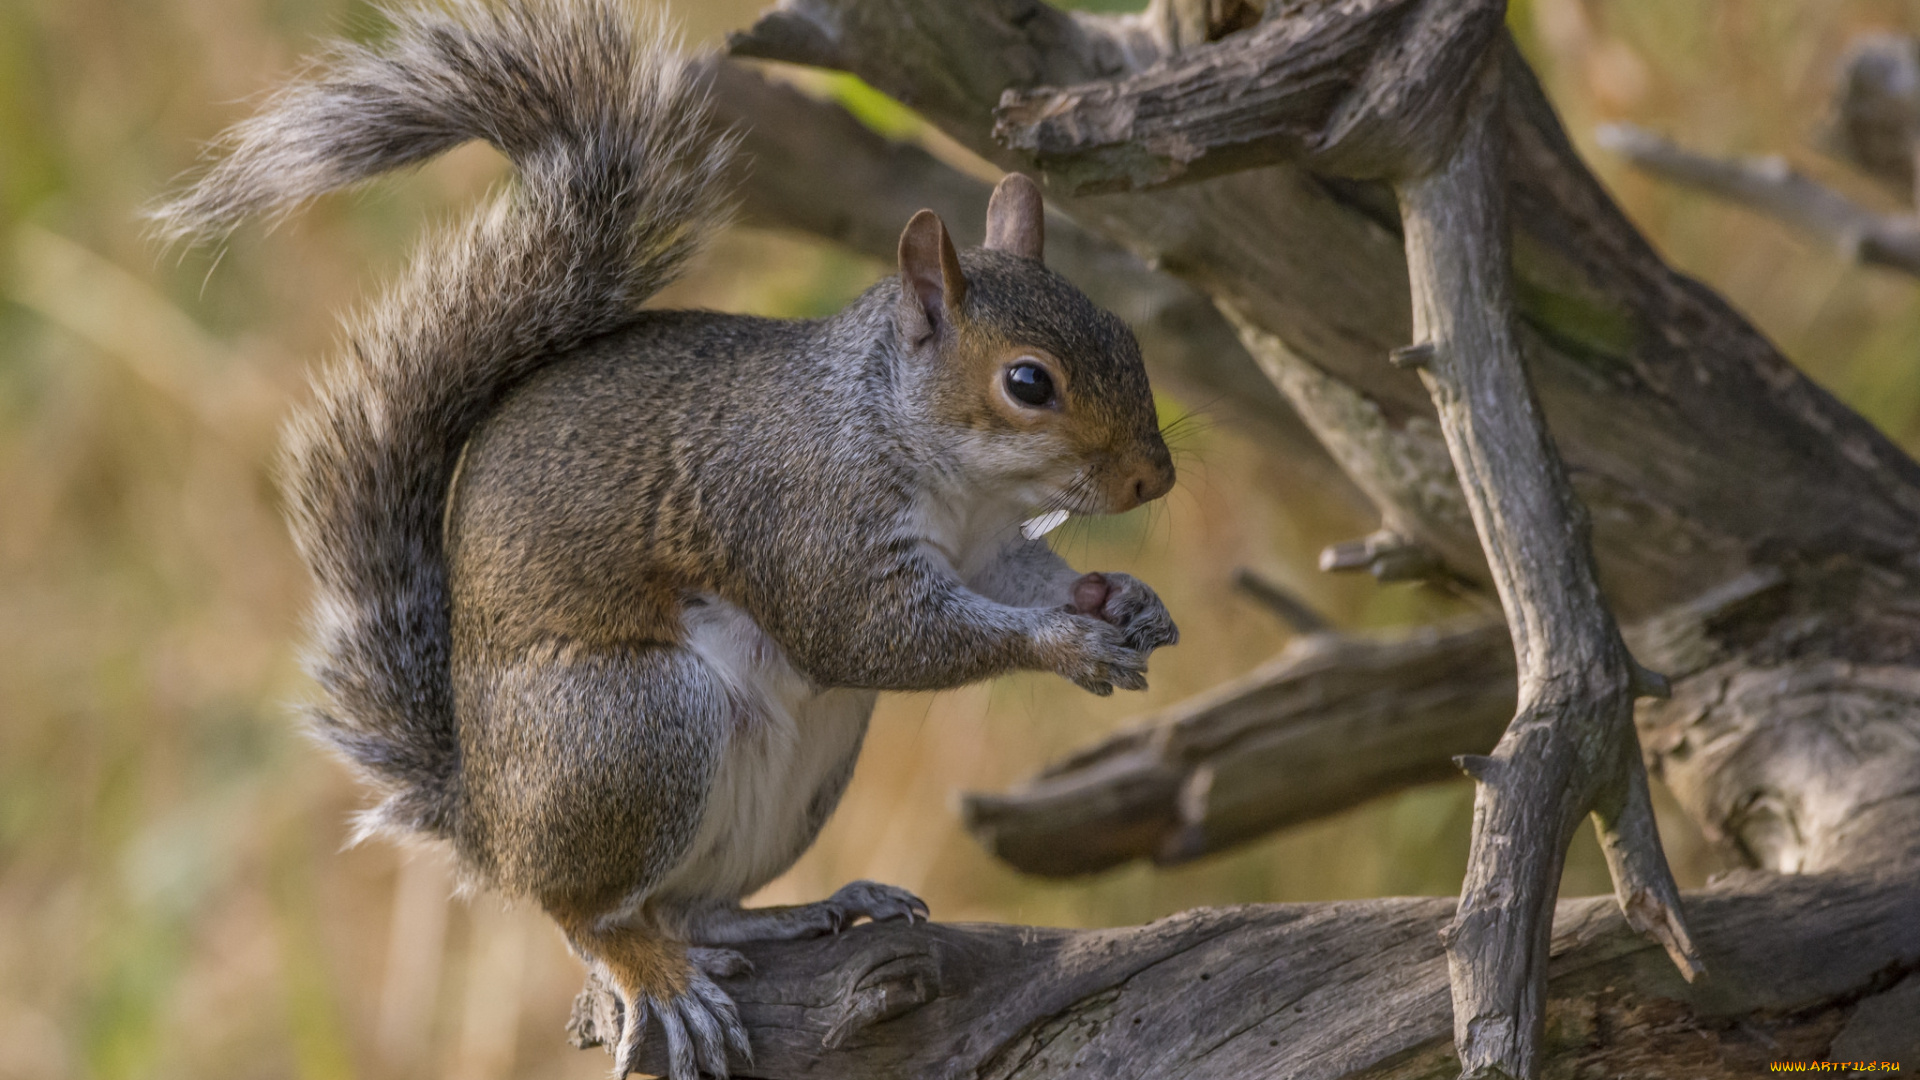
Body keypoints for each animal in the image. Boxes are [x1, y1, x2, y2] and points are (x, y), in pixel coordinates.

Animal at [153, 2, 1167, 1076]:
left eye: (1126, 334)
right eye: (1028, 383)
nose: (1157, 478)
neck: (934, 462)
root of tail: (486, 824)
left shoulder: (989, 549)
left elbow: (1024, 578)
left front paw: (1123, 600)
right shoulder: (803, 519)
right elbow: (872, 637)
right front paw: (1067, 643)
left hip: (797, 775)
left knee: (693, 908)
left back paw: (805, 910)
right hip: (635, 729)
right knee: (588, 914)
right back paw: (656, 975)